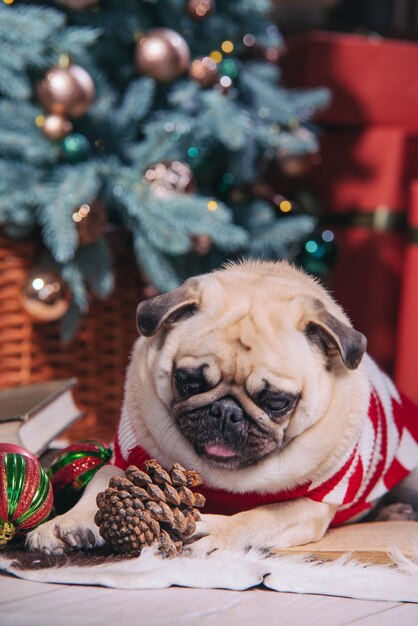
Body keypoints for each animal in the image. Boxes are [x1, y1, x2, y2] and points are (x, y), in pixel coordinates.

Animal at [25, 260, 418, 552]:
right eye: (188, 382)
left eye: (277, 402)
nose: (226, 412)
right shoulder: (128, 458)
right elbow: (98, 485)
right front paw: (64, 524)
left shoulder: (312, 504)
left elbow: (261, 516)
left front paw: (216, 532)